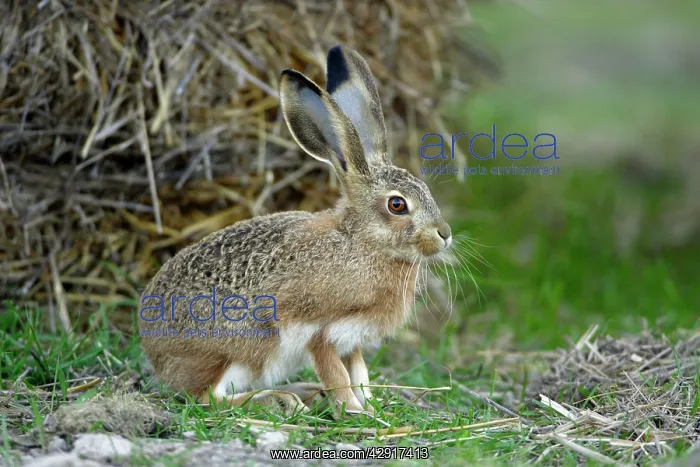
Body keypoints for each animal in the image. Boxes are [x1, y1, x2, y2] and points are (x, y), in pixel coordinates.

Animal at [138, 44, 453, 418]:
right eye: (397, 205)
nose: (445, 234)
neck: (362, 242)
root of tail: (157, 357)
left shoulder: (352, 340)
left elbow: (359, 372)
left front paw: (374, 409)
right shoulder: (319, 332)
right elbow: (338, 376)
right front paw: (355, 412)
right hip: (245, 347)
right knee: (207, 397)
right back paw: (280, 400)